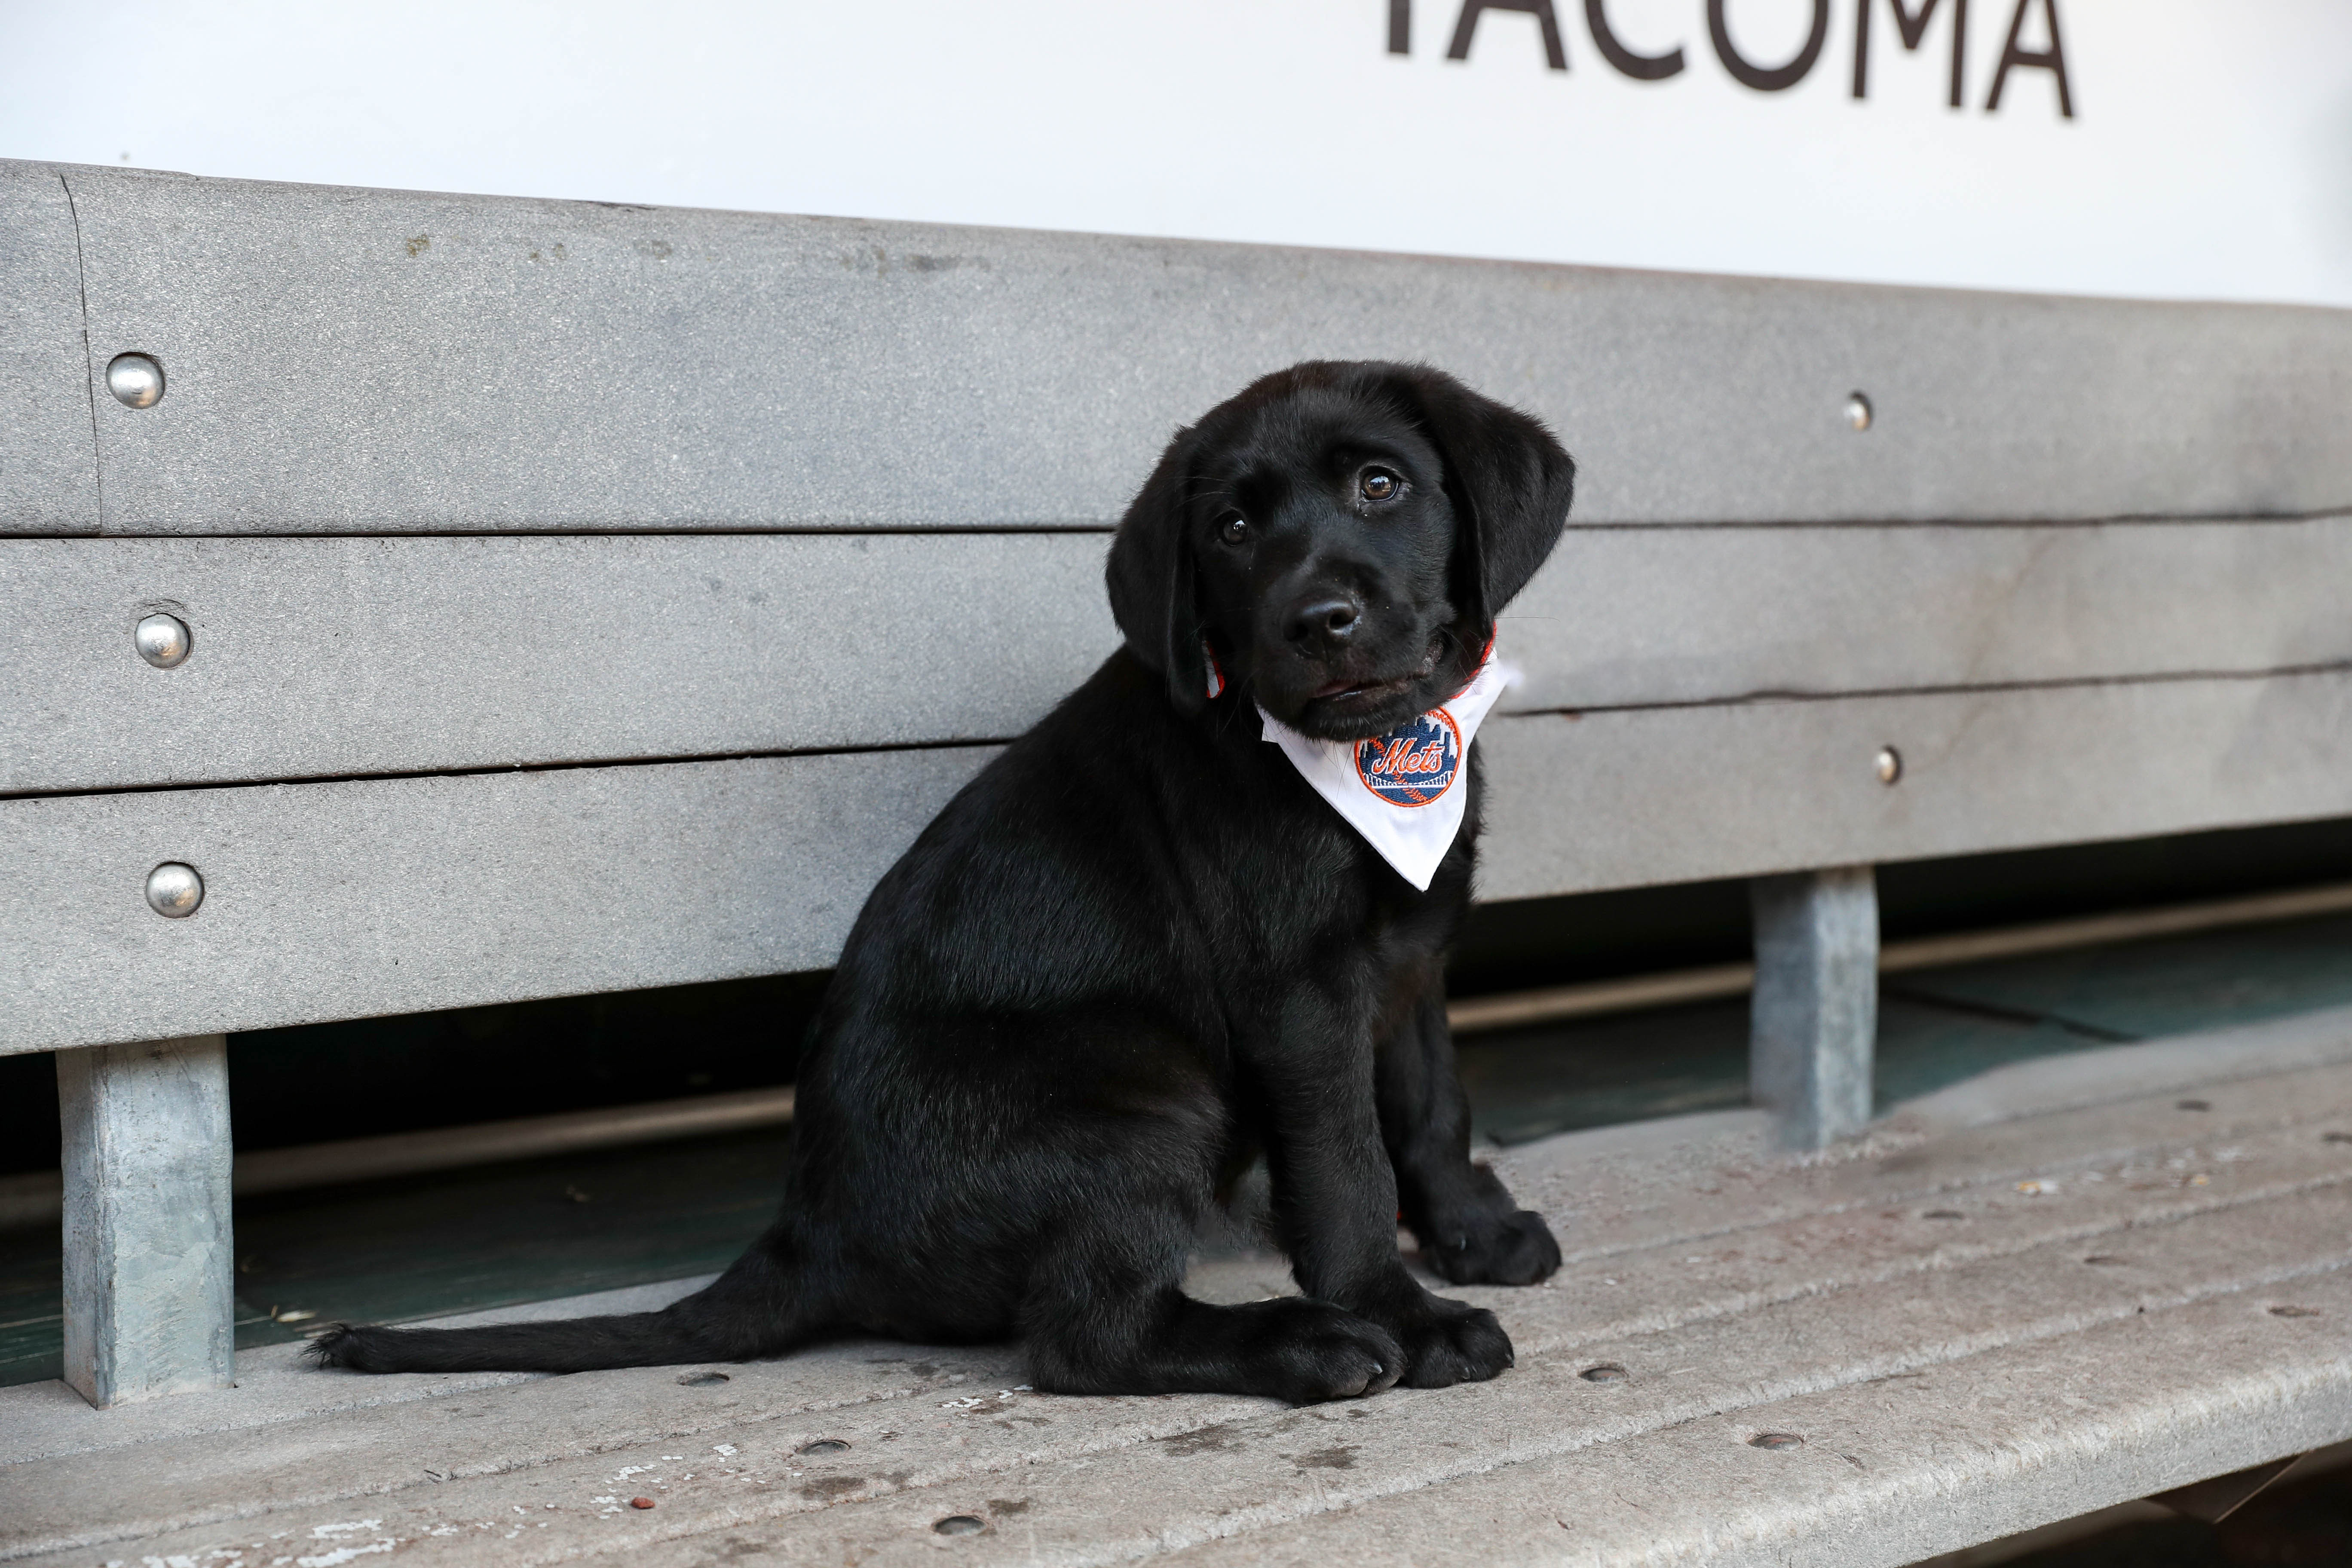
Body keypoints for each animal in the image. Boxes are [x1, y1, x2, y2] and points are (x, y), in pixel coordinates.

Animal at [303, 364, 1571, 1401]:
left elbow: (1429, 1104)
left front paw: (1472, 1230)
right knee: (1086, 1341)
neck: (1362, 761)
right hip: (1145, 1106)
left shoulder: (1409, 958)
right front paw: (1403, 1313)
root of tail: (809, 1236)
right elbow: (1346, 1162)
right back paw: (1309, 1345)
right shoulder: (1301, 999)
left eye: (1380, 483)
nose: (1319, 620)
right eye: (1231, 527)